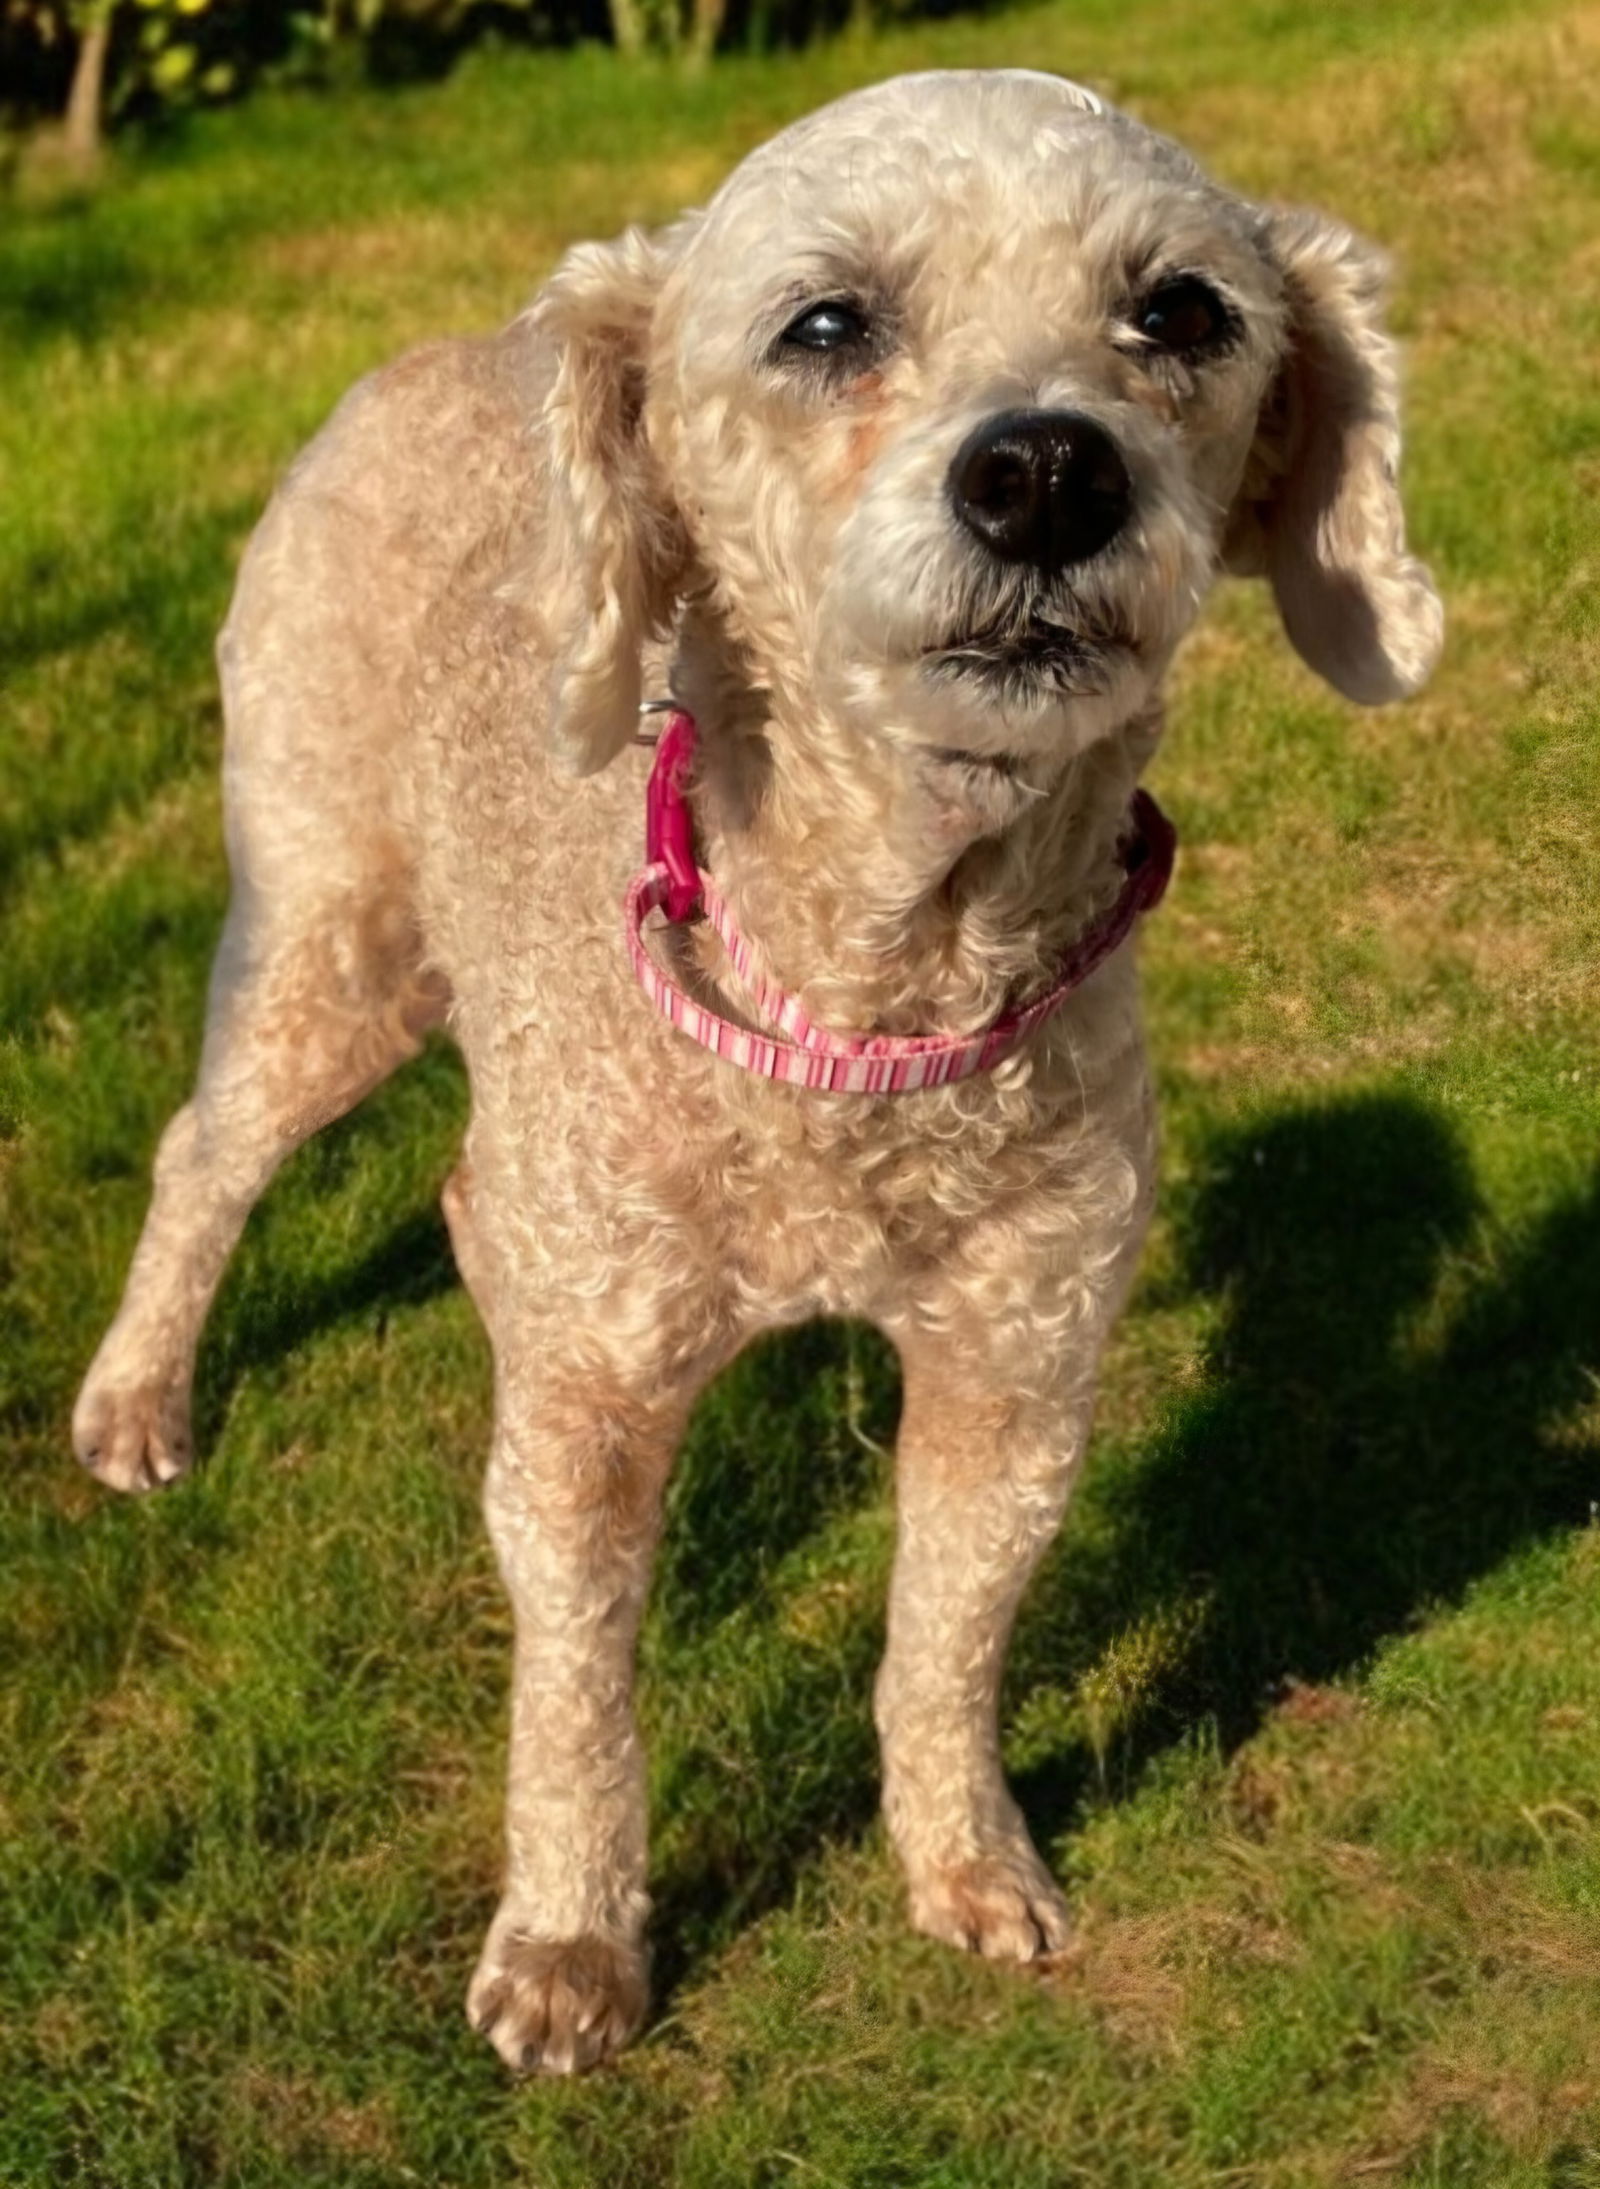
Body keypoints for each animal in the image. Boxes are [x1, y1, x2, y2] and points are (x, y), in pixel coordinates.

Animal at [74, 68, 1444, 2075]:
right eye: (825, 324)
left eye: (1183, 311)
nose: (1049, 471)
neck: (866, 1010)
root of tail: (423, 355)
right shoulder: (586, 1403)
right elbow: (578, 1699)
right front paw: (570, 1945)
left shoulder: (1019, 1371)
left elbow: (944, 1644)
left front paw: (967, 1862)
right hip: (331, 945)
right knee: (202, 1153)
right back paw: (134, 1399)